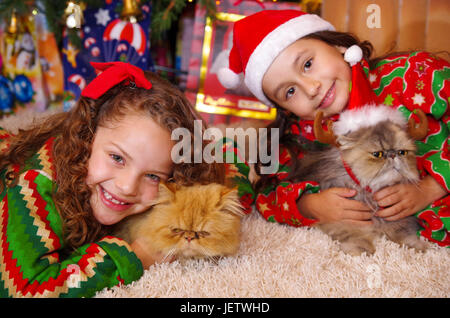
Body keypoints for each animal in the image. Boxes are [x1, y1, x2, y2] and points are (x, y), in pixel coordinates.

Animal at [292, 107, 428, 256]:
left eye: (402, 152)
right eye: (378, 154)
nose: (392, 155)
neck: (370, 193)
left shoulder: (398, 219)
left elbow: (402, 233)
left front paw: (415, 247)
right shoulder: (340, 220)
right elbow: (354, 234)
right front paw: (362, 251)